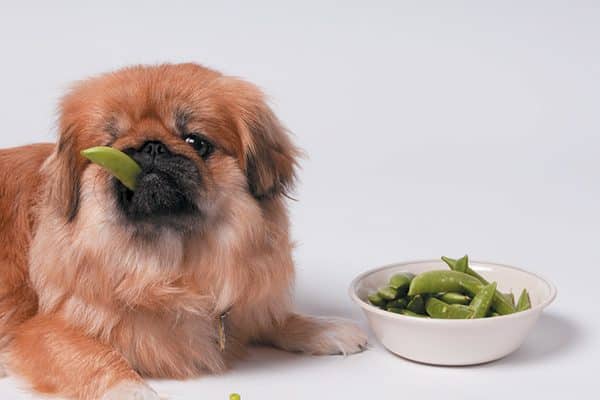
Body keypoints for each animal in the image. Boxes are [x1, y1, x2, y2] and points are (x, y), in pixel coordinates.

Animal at [0, 64, 368, 398]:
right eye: (112, 143)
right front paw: (133, 391)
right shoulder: (43, 330)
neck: (171, 267)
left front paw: (323, 328)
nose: (151, 146)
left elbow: (272, 318)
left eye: (196, 141)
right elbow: (97, 357)